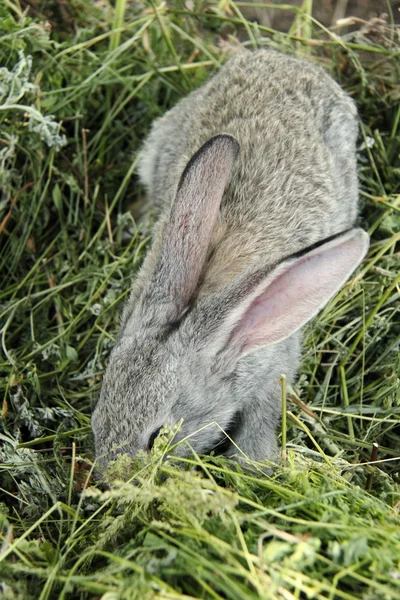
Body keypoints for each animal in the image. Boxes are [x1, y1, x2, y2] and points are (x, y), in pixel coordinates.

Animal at [90, 49, 368, 472]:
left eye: (158, 437)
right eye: (100, 406)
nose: (110, 477)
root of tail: (282, 58)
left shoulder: (273, 368)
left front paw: (253, 462)